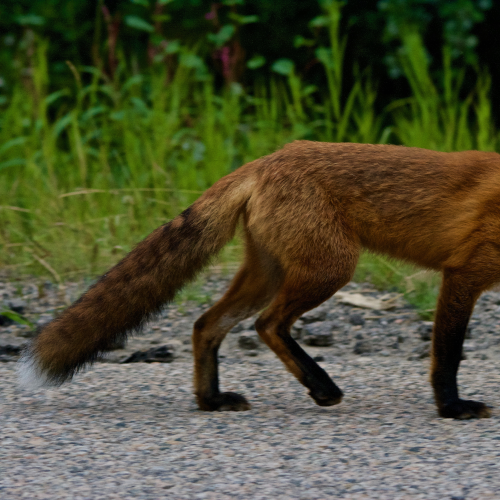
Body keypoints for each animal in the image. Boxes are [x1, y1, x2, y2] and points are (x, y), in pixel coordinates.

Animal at [17, 142, 498, 418]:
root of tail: (268, 158)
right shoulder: (463, 273)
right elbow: (448, 354)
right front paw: (452, 408)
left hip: (270, 273)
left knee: (207, 324)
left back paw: (211, 401)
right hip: (331, 268)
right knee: (267, 324)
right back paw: (320, 387)